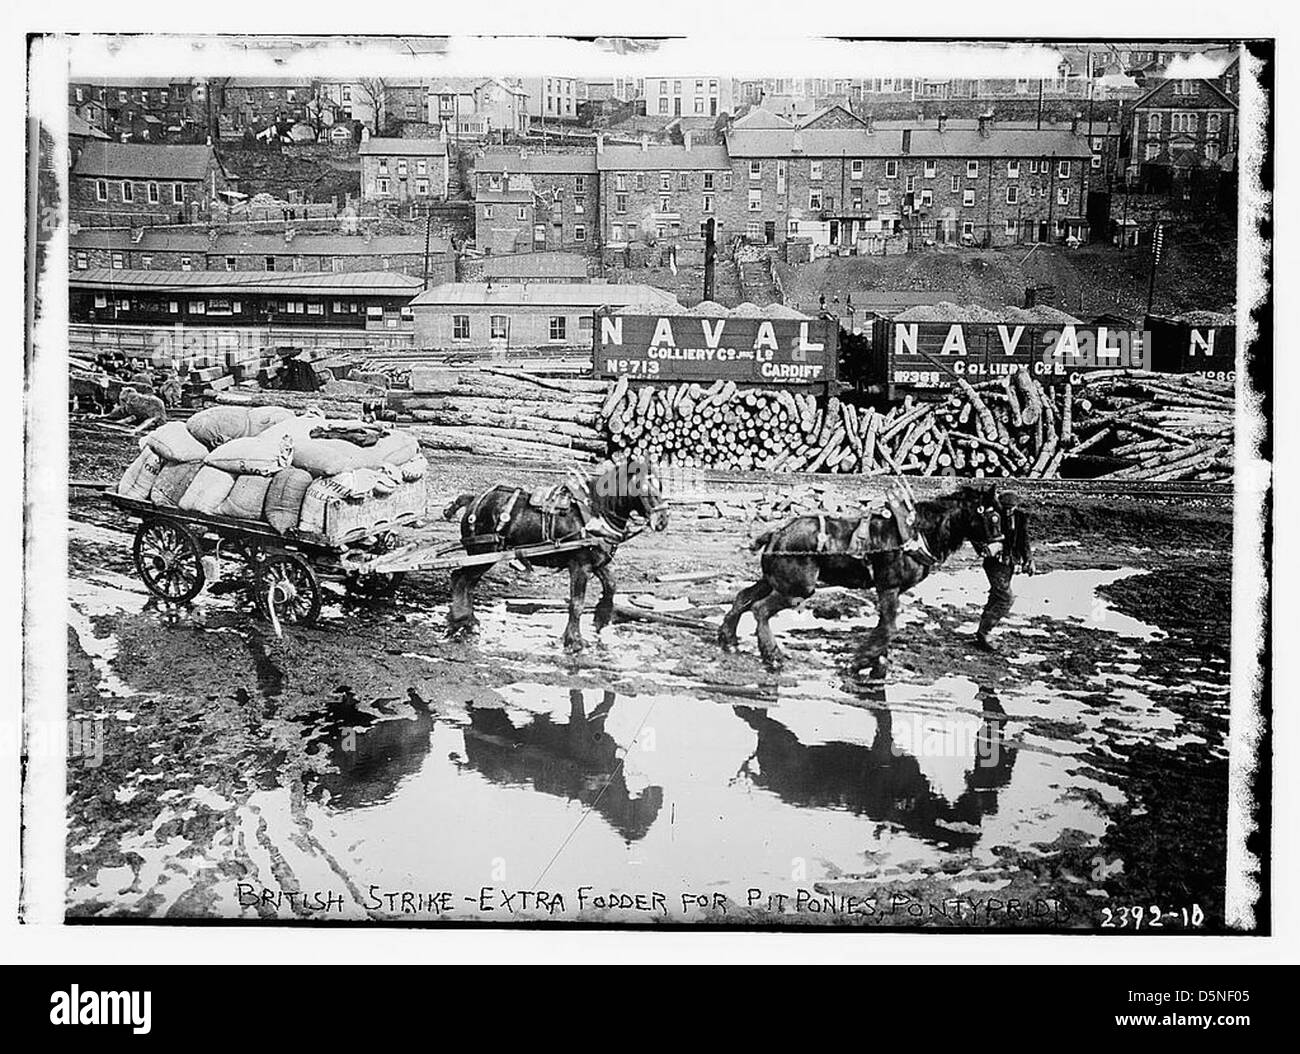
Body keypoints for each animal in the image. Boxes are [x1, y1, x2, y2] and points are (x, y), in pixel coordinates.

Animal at [447, 460, 670, 652]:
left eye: (660, 485)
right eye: (642, 486)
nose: (662, 520)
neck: (594, 512)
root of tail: (474, 500)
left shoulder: (597, 562)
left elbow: (611, 586)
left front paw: (601, 618)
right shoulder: (580, 566)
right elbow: (577, 603)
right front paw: (574, 640)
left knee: (465, 581)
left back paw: (467, 620)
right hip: (484, 553)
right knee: (462, 578)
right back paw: (461, 619)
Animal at [722, 488, 1013, 675]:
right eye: (993, 516)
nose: (1000, 551)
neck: (916, 532)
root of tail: (778, 532)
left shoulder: (891, 590)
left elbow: (884, 626)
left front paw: (875, 662)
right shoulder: (889, 587)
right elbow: (889, 628)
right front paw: (862, 661)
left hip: (774, 580)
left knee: (743, 598)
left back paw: (728, 638)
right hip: (797, 588)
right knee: (760, 609)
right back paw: (772, 655)